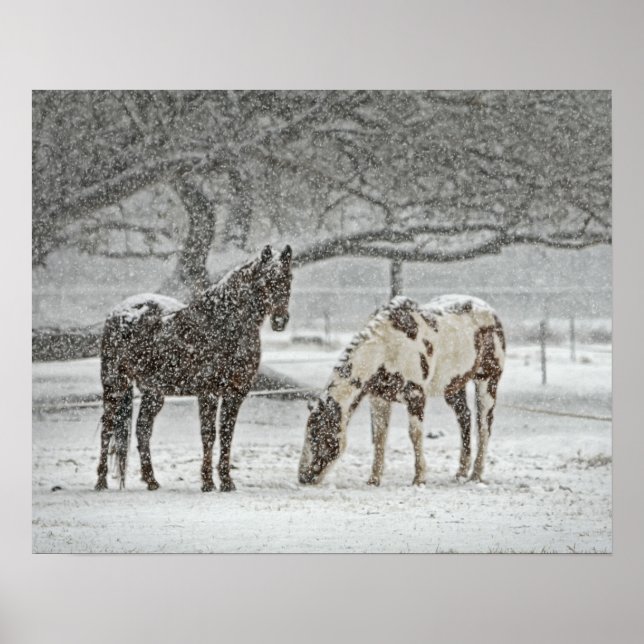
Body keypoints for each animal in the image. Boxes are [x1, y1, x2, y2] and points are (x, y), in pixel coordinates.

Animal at [95, 244, 293, 492]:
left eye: (288, 277)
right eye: (266, 280)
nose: (280, 320)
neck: (224, 324)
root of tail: (119, 312)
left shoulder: (235, 393)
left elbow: (227, 434)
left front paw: (227, 481)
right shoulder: (208, 392)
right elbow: (209, 435)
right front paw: (207, 482)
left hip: (153, 393)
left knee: (142, 429)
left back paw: (151, 480)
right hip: (115, 384)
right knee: (108, 427)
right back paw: (101, 481)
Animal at [299, 294, 505, 487]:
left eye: (319, 436)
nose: (303, 477)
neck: (387, 348)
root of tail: (491, 312)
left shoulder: (415, 396)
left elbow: (415, 435)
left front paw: (419, 479)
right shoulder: (379, 398)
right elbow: (380, 437)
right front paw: (374, 480)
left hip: (487, 381)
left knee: (484, 426)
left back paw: (476, 475)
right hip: (453, 387)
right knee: (465, 419)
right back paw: (461, 472)